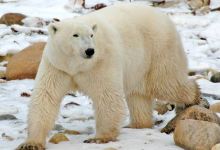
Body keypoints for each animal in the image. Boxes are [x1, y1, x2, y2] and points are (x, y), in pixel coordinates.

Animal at [16, 2, 201, 149]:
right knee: (138, 94)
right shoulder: (57, 66)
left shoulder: (102, 62)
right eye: (75, 34)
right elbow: (46, 97)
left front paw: (98, 138)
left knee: (164, 83)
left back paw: (194, 97)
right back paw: (137, 124)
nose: (90, 50)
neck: (76, 65)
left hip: (158, 48)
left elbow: (106, 96)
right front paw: (31, 143)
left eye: (91, 35)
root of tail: (165, 17)